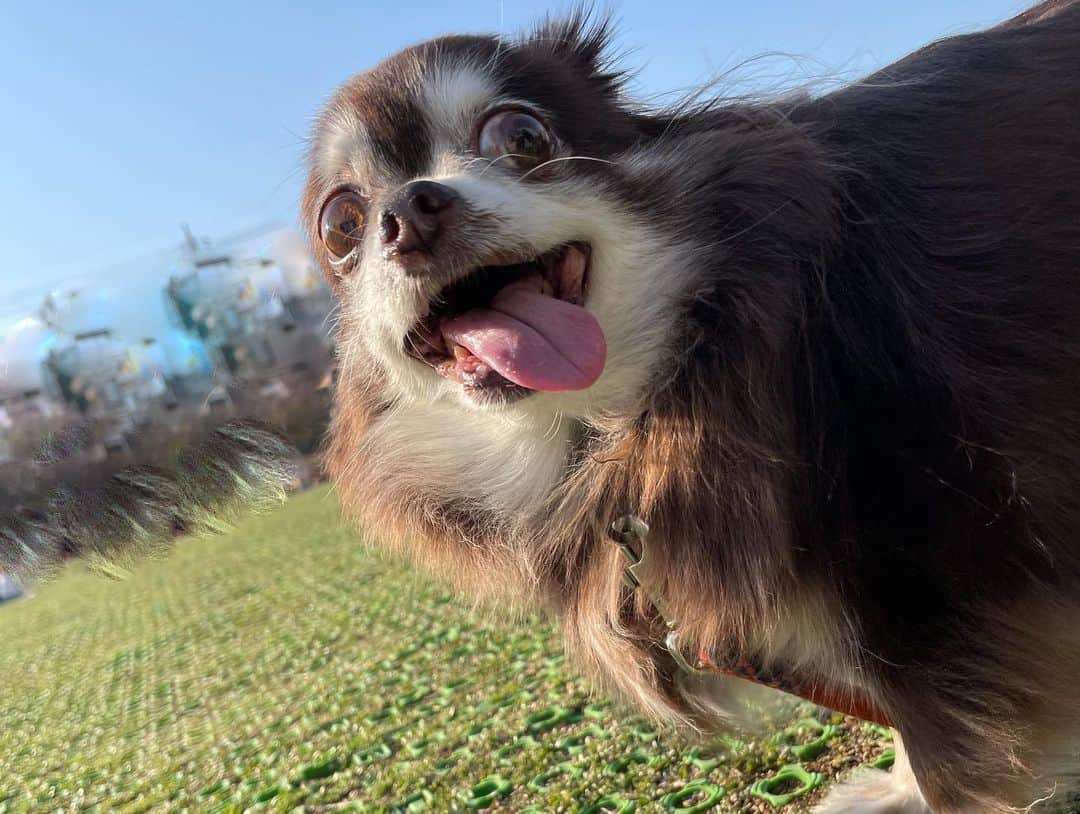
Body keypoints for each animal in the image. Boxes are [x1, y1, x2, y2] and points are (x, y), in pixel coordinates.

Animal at [300, 3, 1080, 807]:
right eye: (340, 224)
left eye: (521, 136)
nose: (411, 211)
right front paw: (895, 787)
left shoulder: (936, 573)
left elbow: (948, 754)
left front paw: (915, 793)